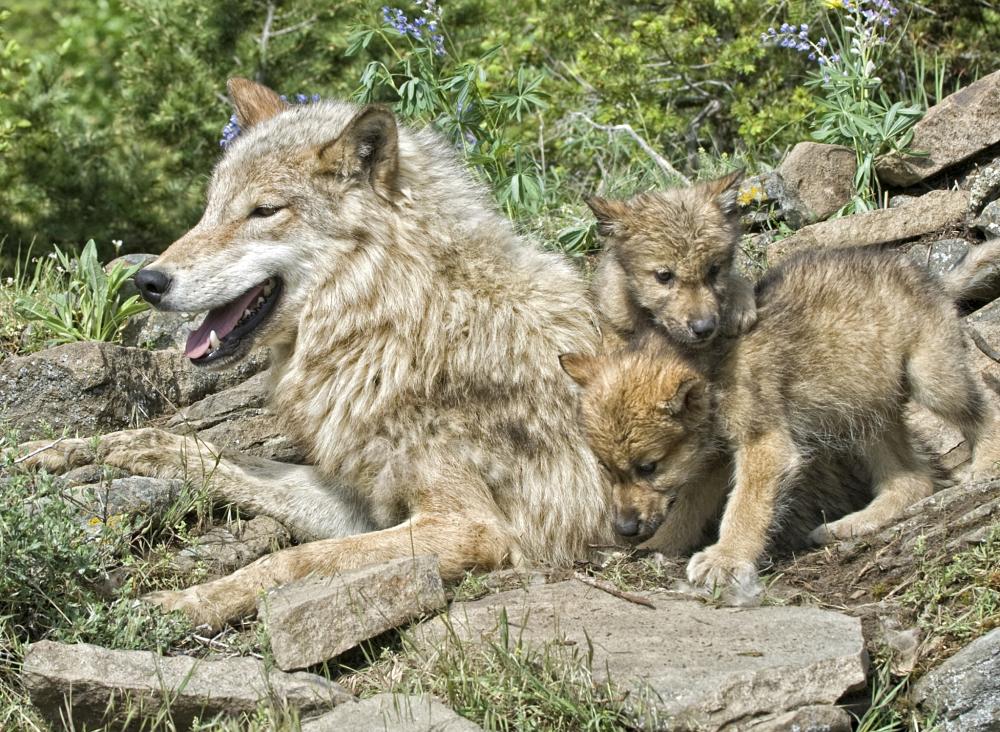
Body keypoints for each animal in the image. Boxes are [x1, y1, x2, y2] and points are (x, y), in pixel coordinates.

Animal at [21, 80, 616, 628]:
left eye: (264, 211)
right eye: (210, 209)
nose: (147, 281)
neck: (398, 320)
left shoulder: (471, 529)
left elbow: (291, 561)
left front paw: (180, 605)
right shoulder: (365, 499)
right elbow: (200, 453)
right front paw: (69, 449)